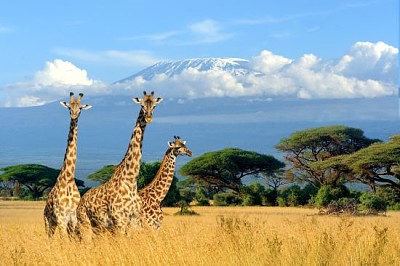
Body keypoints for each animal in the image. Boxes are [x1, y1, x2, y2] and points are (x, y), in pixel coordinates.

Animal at [43, 92, 92, 238]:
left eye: (80, 108)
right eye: (69, 107)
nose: (74, 115)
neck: (69, 179)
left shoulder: (73, 218)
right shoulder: (61, 218)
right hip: (48, 223)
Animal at [76, 91, 162, 237]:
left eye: (155, 106)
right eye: (142, 105)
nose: (149, 118)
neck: (131, 181)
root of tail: (81, 201)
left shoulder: (135, 220)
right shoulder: (119, 220)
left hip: (99, 227)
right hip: (85, 223)